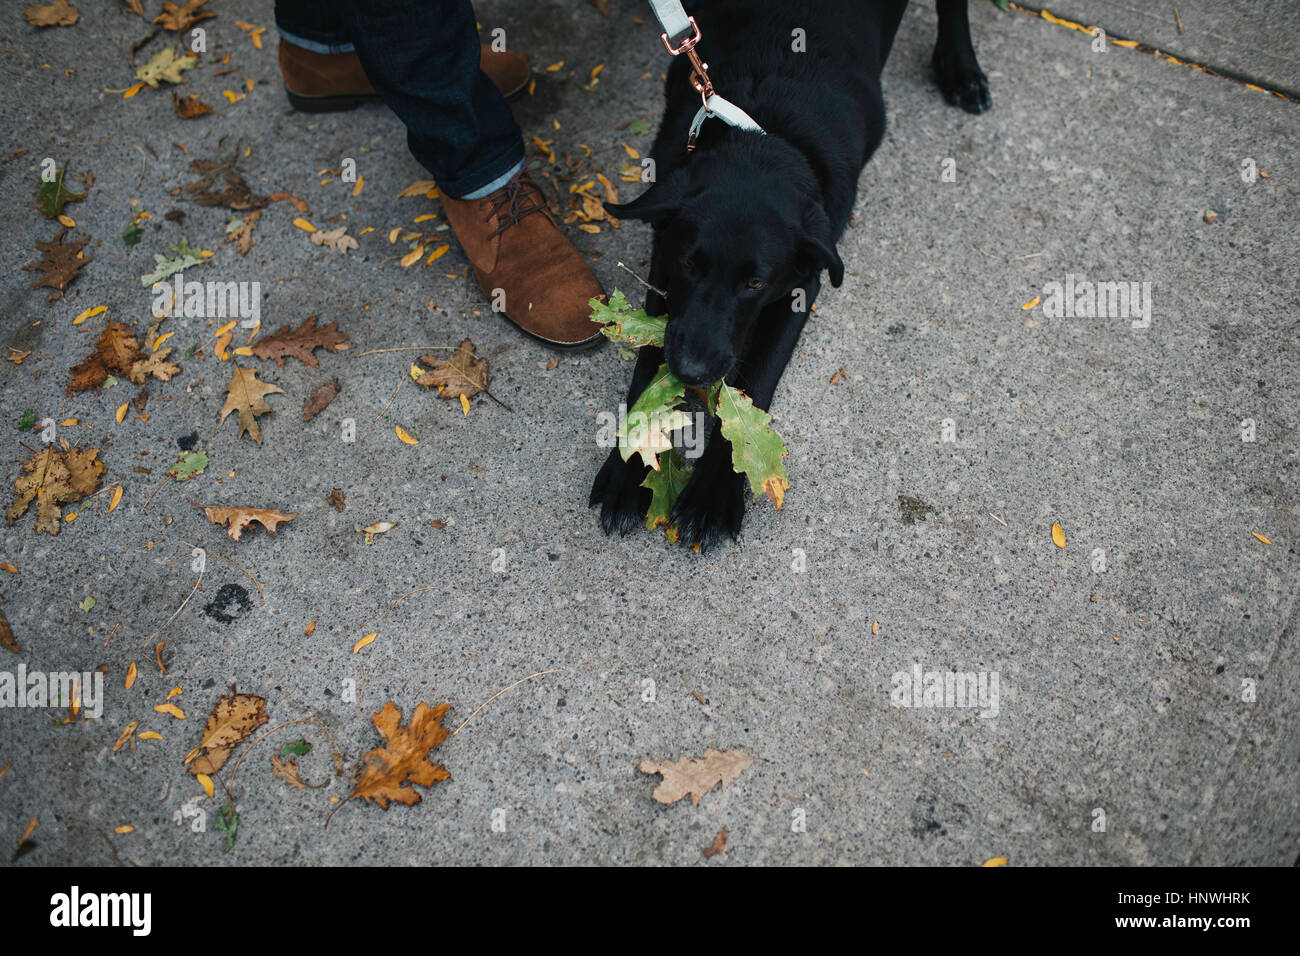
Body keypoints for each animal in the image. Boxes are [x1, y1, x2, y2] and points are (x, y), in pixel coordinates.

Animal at [595, 0, 987, 548]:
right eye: (690, 265)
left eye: (754, 284)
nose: (692, 372)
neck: (764, 134)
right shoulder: (663, 263)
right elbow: (647, 363)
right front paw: (629, 464)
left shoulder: (805, 283)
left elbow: (757, 380)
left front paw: (714, 493)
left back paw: (960, 67)